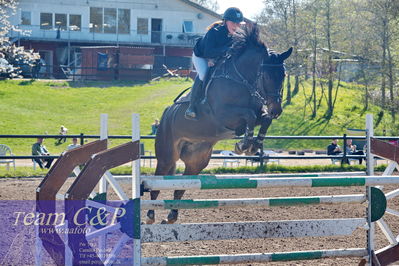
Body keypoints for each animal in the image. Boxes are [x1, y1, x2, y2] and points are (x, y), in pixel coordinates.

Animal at [148, 24, 292, 224]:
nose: (276, 110)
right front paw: (243, 145)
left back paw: (171, 215)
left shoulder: (258, 113)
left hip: (197, 160)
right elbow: (248, 116)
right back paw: (150, 215)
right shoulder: (223, 115)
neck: (242, 80)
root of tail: (167, 113)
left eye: (283, 75)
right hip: (167, 155)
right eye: (267, 76)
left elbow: (263, 119)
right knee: (157, 181)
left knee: (182, 184)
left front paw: (253, 145)